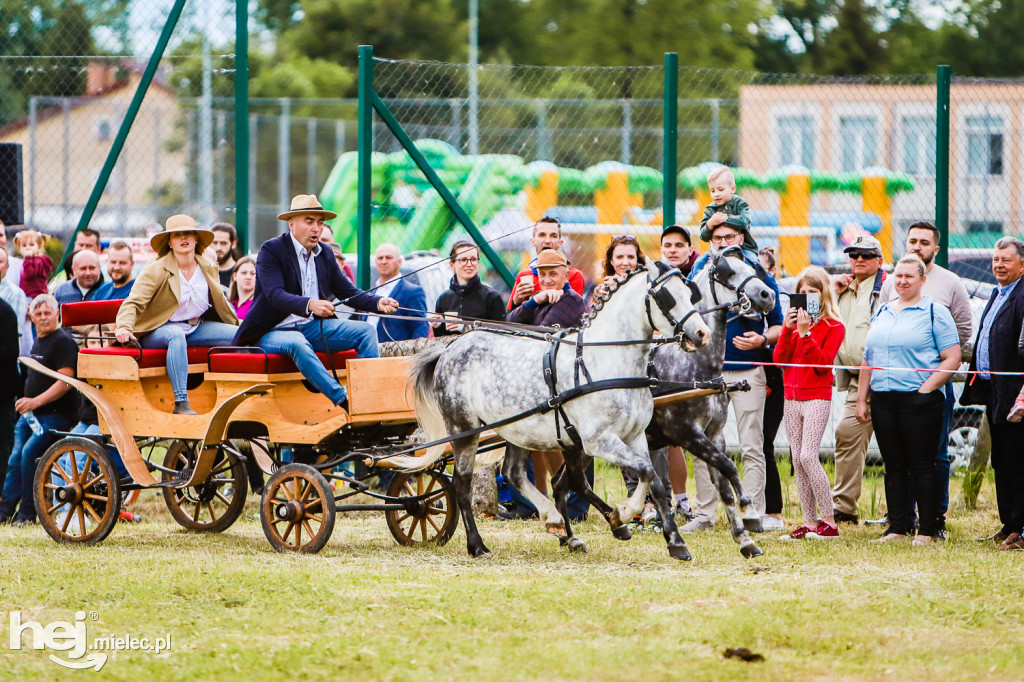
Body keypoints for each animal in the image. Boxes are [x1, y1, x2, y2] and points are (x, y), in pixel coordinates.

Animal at [391, 260, 712, 557]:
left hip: (518, 429)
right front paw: (620, 516)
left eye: (689, 292)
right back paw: (478, 545)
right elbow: (642, 471)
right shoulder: (598, 441)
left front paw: (675, 543)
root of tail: (450, 348)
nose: (701, 333)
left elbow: (653, 480)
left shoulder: (634, 437)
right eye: (667, 297)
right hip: (464, 429)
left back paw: (557, 523)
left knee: (514, 473)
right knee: (461, 483)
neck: (605, 361)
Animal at [647, 246, 774, 557]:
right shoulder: (688, 434)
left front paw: (744, 538)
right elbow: (729, 467)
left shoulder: (714, 435)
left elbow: (723, 483)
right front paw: (751, 513)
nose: (768, 295)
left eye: (753, 266)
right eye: (729, 271)